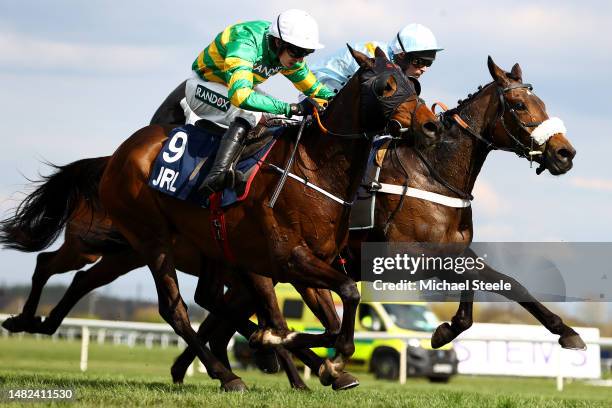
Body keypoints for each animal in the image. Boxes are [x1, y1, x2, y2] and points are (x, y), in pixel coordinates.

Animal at [94, 46, 440, 390]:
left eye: (413, 86)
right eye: (387, 87)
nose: (431, 126)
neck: (316, 169)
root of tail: (121, 152)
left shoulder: (313, 262)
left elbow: (331, 322)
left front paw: (307, 356)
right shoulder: (290, 256)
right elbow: (347, 294)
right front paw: (302, 352)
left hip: (214, 245)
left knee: (208, 298)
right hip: (153, 239)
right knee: (174, 309)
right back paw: (228, 374)